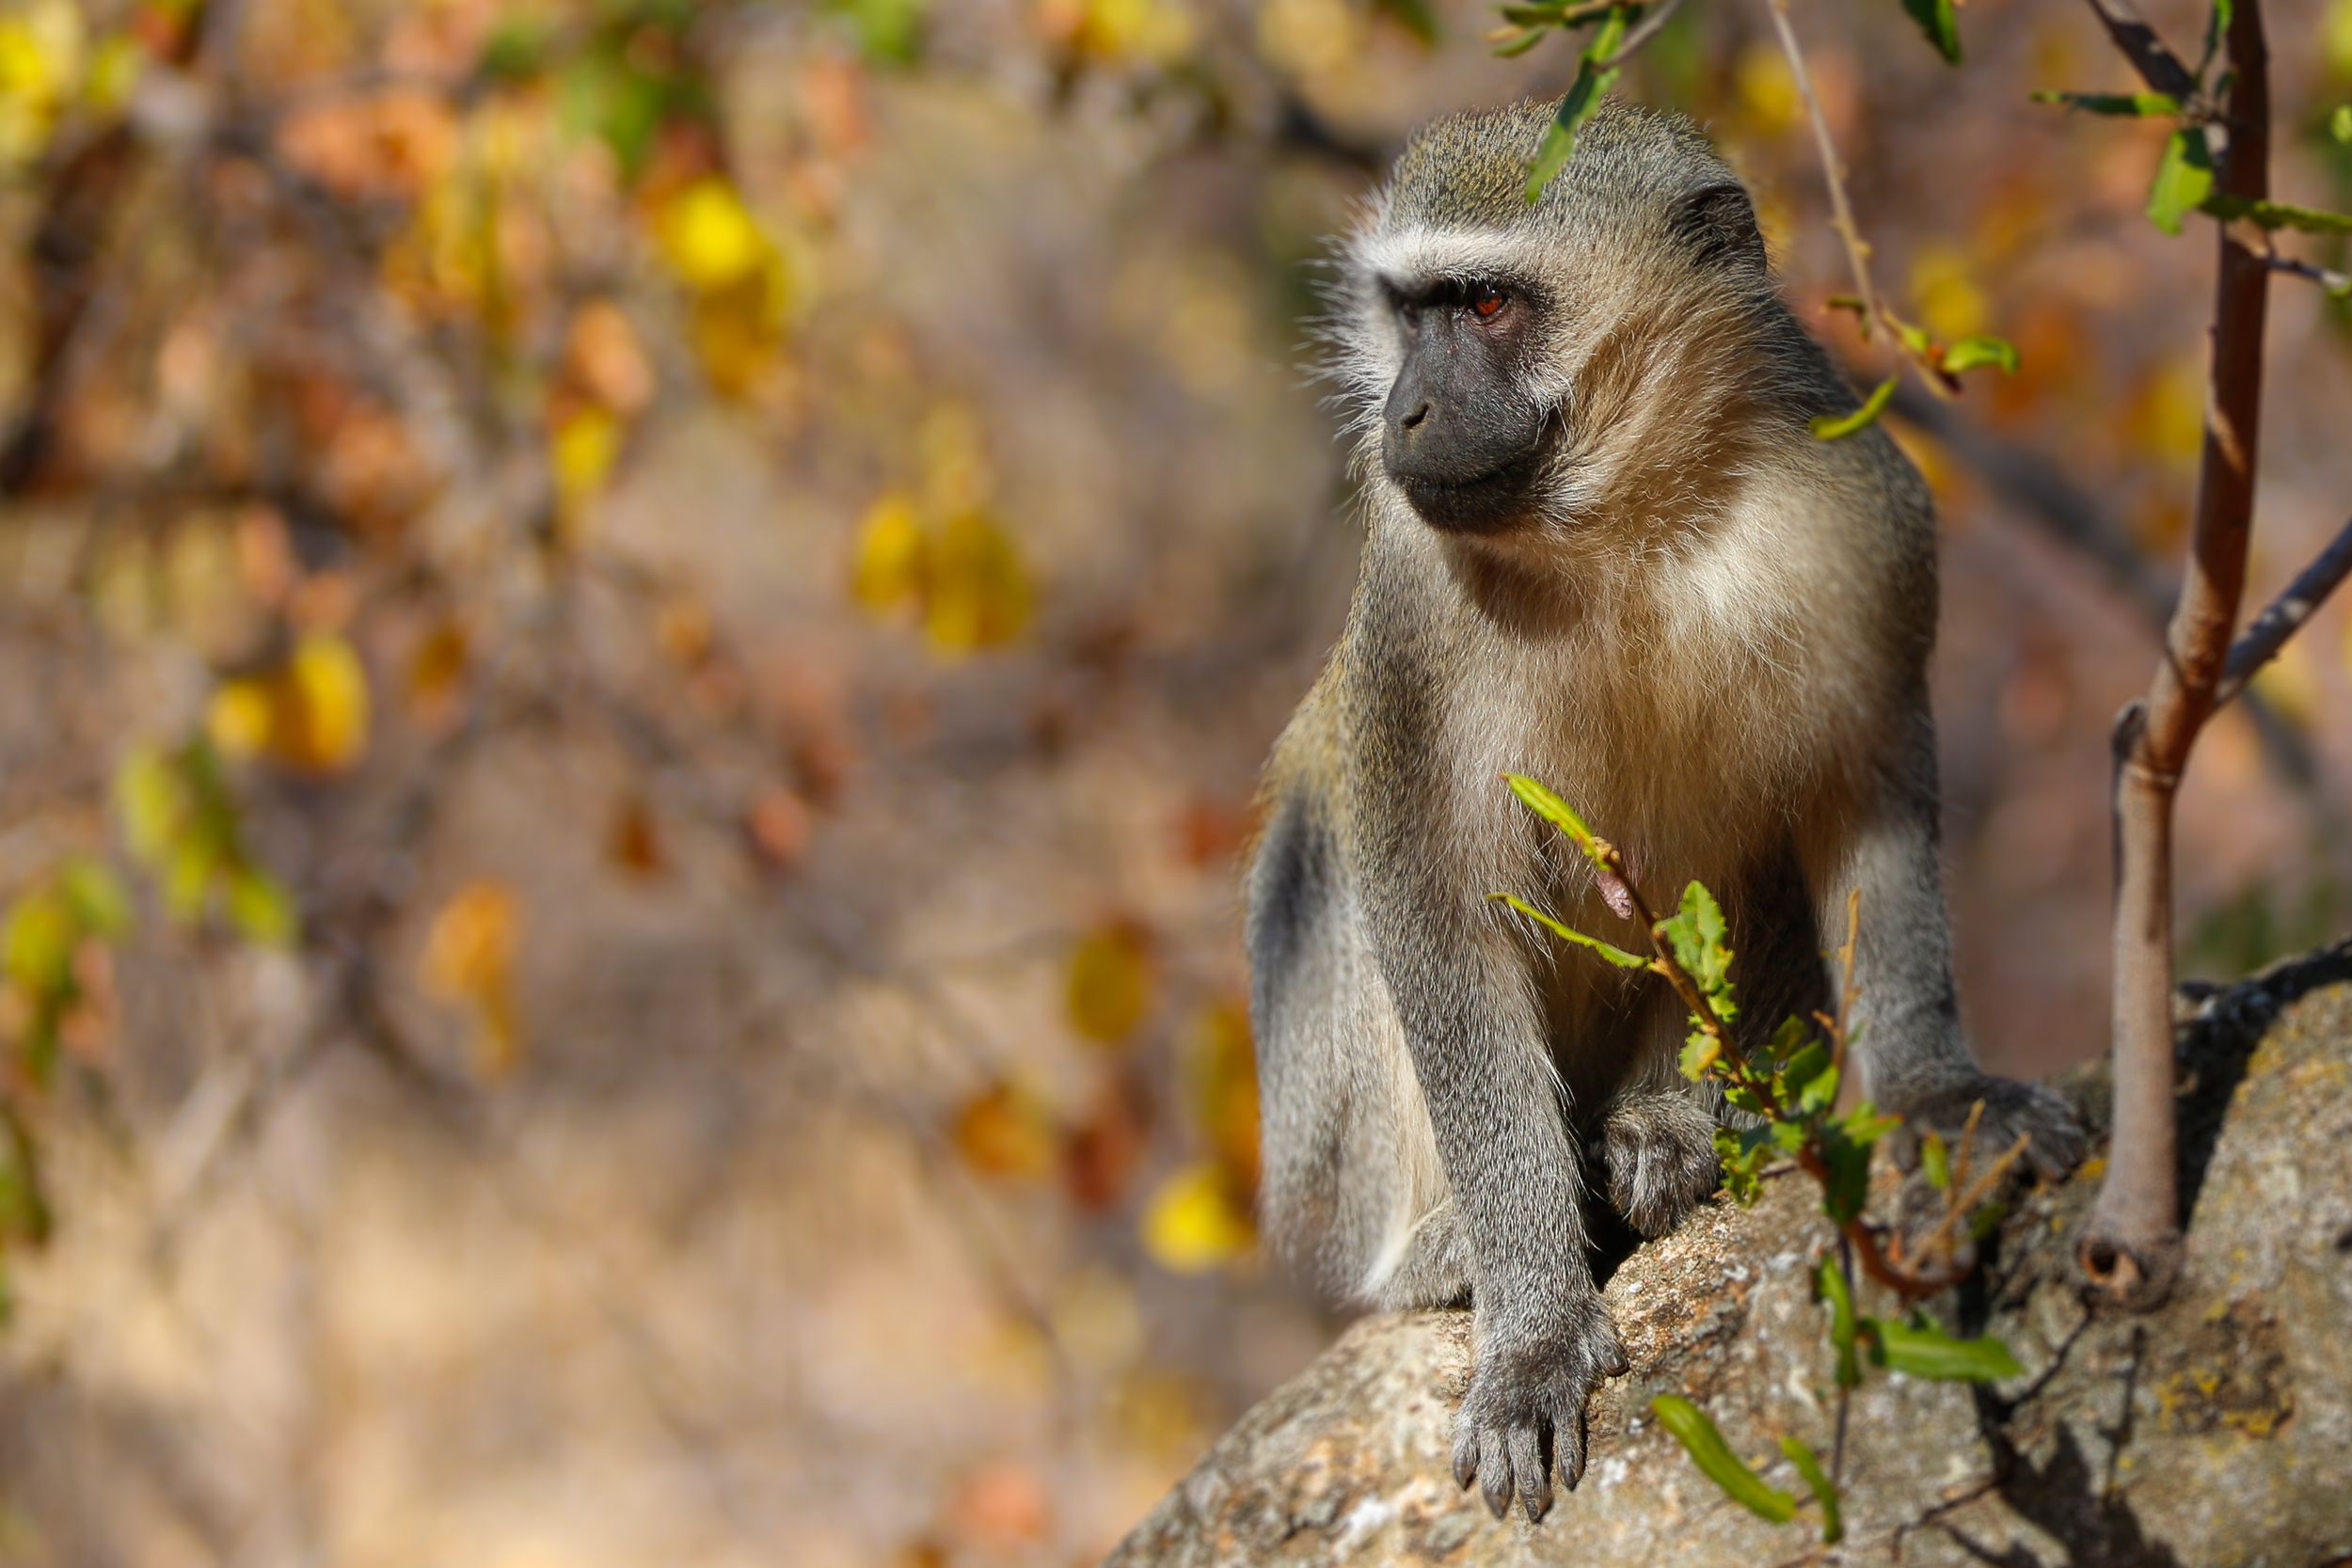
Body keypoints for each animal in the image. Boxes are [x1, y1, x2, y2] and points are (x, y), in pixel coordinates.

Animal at [1243, 98, 2084, 1524]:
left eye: (1484, 305)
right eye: (1410, 312)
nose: (1406, 411)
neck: (1627, 520)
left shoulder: (1865, 520)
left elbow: (1867, 807)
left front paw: (1933, 1086)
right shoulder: (1411, 613)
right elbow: (1425, 909)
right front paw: (1533, 1329)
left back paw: (1669, 1126)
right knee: (1331, 868)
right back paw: (1444, 1244)